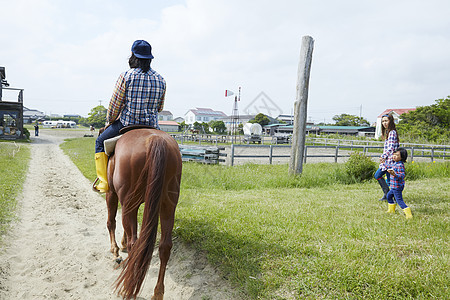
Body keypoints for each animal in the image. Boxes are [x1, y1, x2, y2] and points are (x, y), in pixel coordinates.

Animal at [105, 128, 181, 300]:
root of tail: (155, 140)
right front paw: (121, 244)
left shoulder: (112, 193)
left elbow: (111, 222)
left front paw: (115, 251)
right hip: (168, 206)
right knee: (165, 246)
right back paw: (158, 293)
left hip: (128, 202)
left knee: (135, 243)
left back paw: (127, 287)